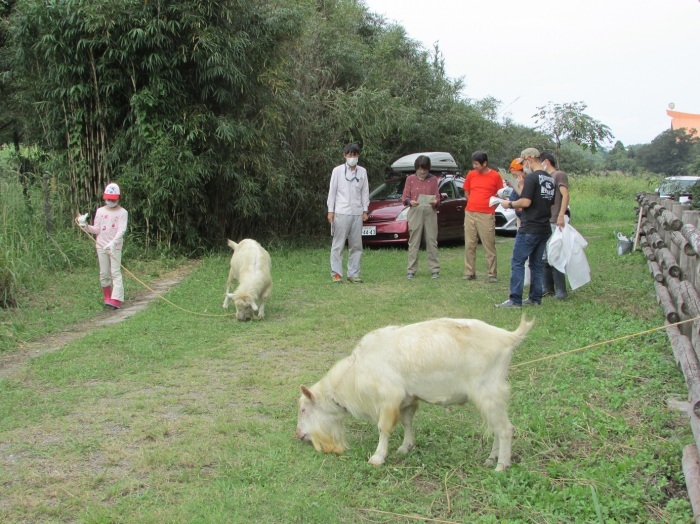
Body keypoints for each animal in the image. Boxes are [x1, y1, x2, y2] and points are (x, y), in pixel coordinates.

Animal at [296, 316, 536, 470]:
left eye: (304, 409)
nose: (299, 435)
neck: (355, 372)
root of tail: (507, 337)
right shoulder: (407, 399)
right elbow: (407, 422)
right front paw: (406, 446)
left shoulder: (388, 397)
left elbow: (383, 428)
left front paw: (378, 457)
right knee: (496, 428)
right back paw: (491, 458)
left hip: (489, 391)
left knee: (505, 429)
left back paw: (501, 465)